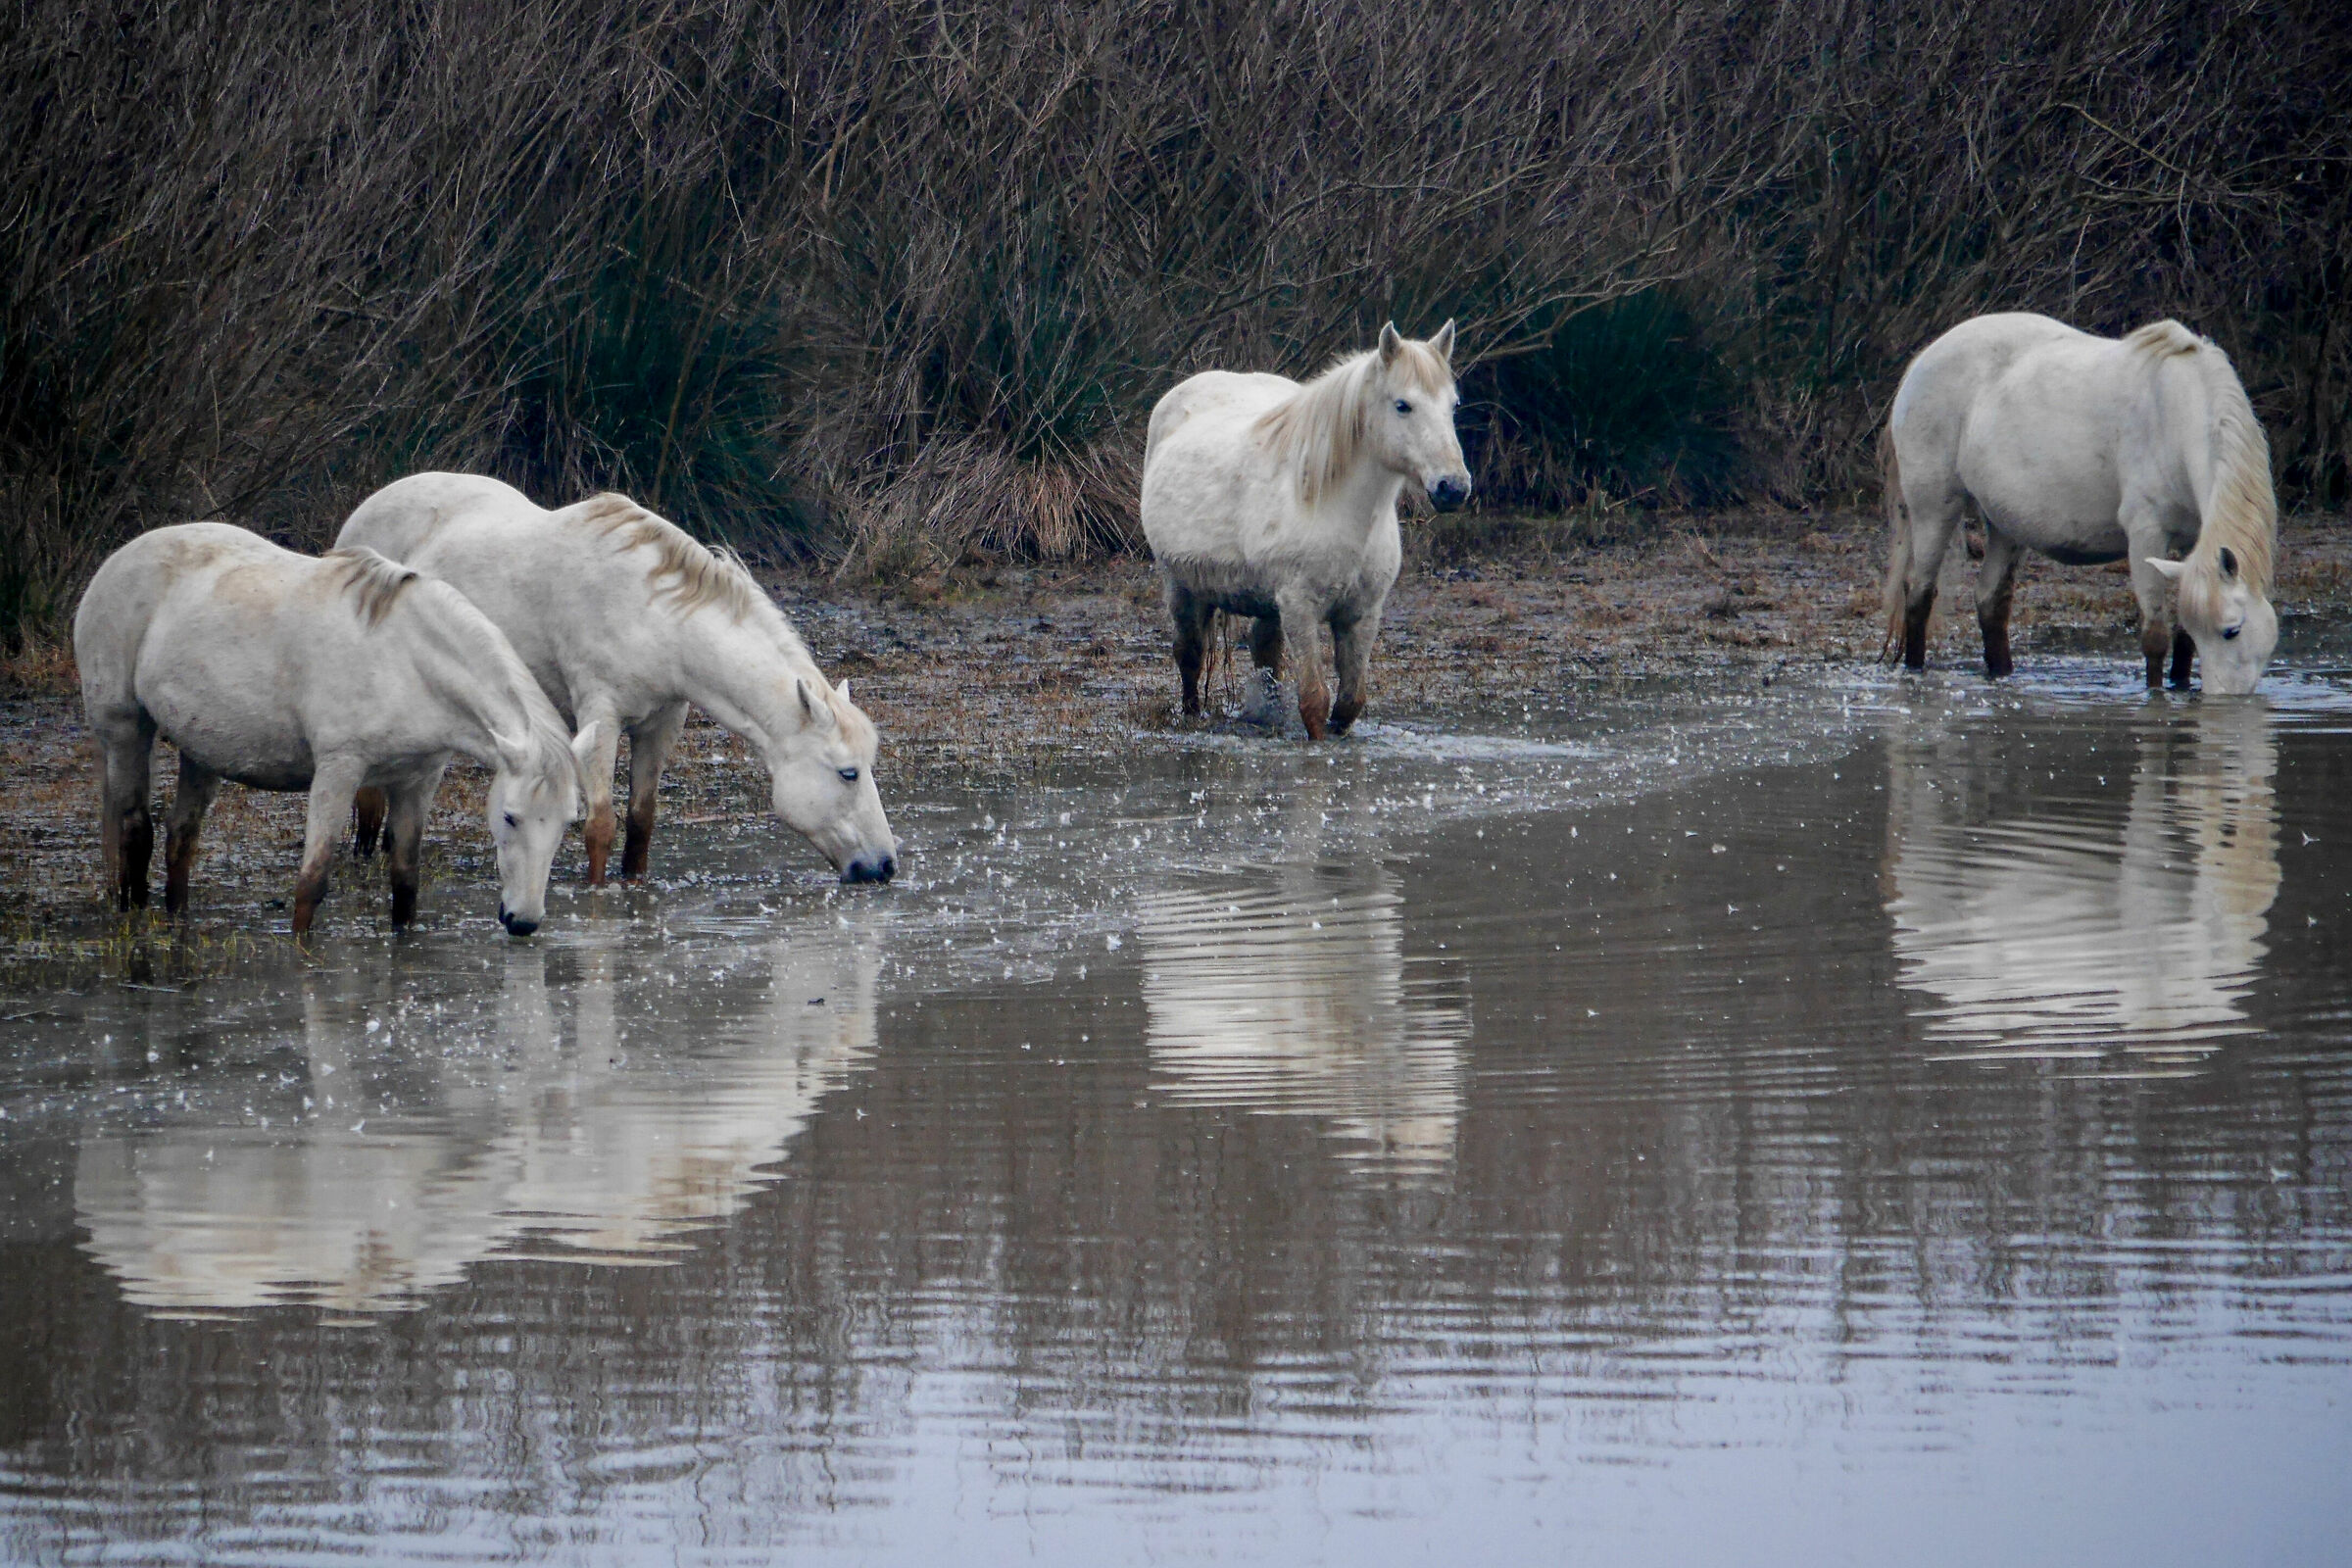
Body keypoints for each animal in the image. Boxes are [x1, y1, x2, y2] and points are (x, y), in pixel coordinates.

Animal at [73, 523, 591, 937]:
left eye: (567, 822)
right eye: (509, 817)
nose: (523, 921)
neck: (408, 660)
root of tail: (116, 562)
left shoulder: (419, 780)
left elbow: (405, 883)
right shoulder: (339, 771)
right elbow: (313, 882)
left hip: (200, 750)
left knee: (181, 837)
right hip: (125, 730)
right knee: (135, 832)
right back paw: (132, 920)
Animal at [336, 474, 897, 885]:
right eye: (848, 772)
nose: (885, 866)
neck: (655, 618)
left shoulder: (663, 721)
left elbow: (641, 821)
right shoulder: (600, 718)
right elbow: (601, 825)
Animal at [1140, 320, 1471, 740]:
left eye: (1453, 405)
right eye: (1402, 405)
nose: (1453, 487)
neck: (1341, 511)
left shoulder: (1362, 614)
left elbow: (1349, 703)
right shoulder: (1300, 606)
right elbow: (1314, 701)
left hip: (1264, 603)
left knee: (1265, 654)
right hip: (1180, 585)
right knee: (1190, 656)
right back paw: (1192, 715)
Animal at [1883, 313, 2278, 693]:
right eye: (2232, 630)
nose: (2226, 698)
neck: (2175, 413)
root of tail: (1923, 360)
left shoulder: (2194, 541)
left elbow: (2182, 645)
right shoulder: (2146, 534)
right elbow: (2155, 638)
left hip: (2005, 524)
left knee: (1990, 602)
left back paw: (2002, 675)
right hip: (1935, 508)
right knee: (1919, 594)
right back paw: (1915, 671)